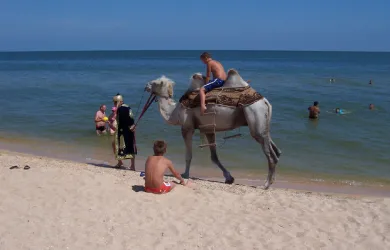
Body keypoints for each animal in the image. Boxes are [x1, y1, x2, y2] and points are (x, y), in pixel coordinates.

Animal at [145, 69, 282, 188]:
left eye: (155, 82)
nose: (146, 86)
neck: (175, 111)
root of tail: (265, 101)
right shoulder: (209, 129)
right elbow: (214, 157)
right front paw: (229, 178)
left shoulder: (187, 127)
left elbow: (189, 155)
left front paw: (185, 174)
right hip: (263, 125)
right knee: (276, 150)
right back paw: (271, 181)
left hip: (255, 117)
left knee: (269, 154)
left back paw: (265, 185)